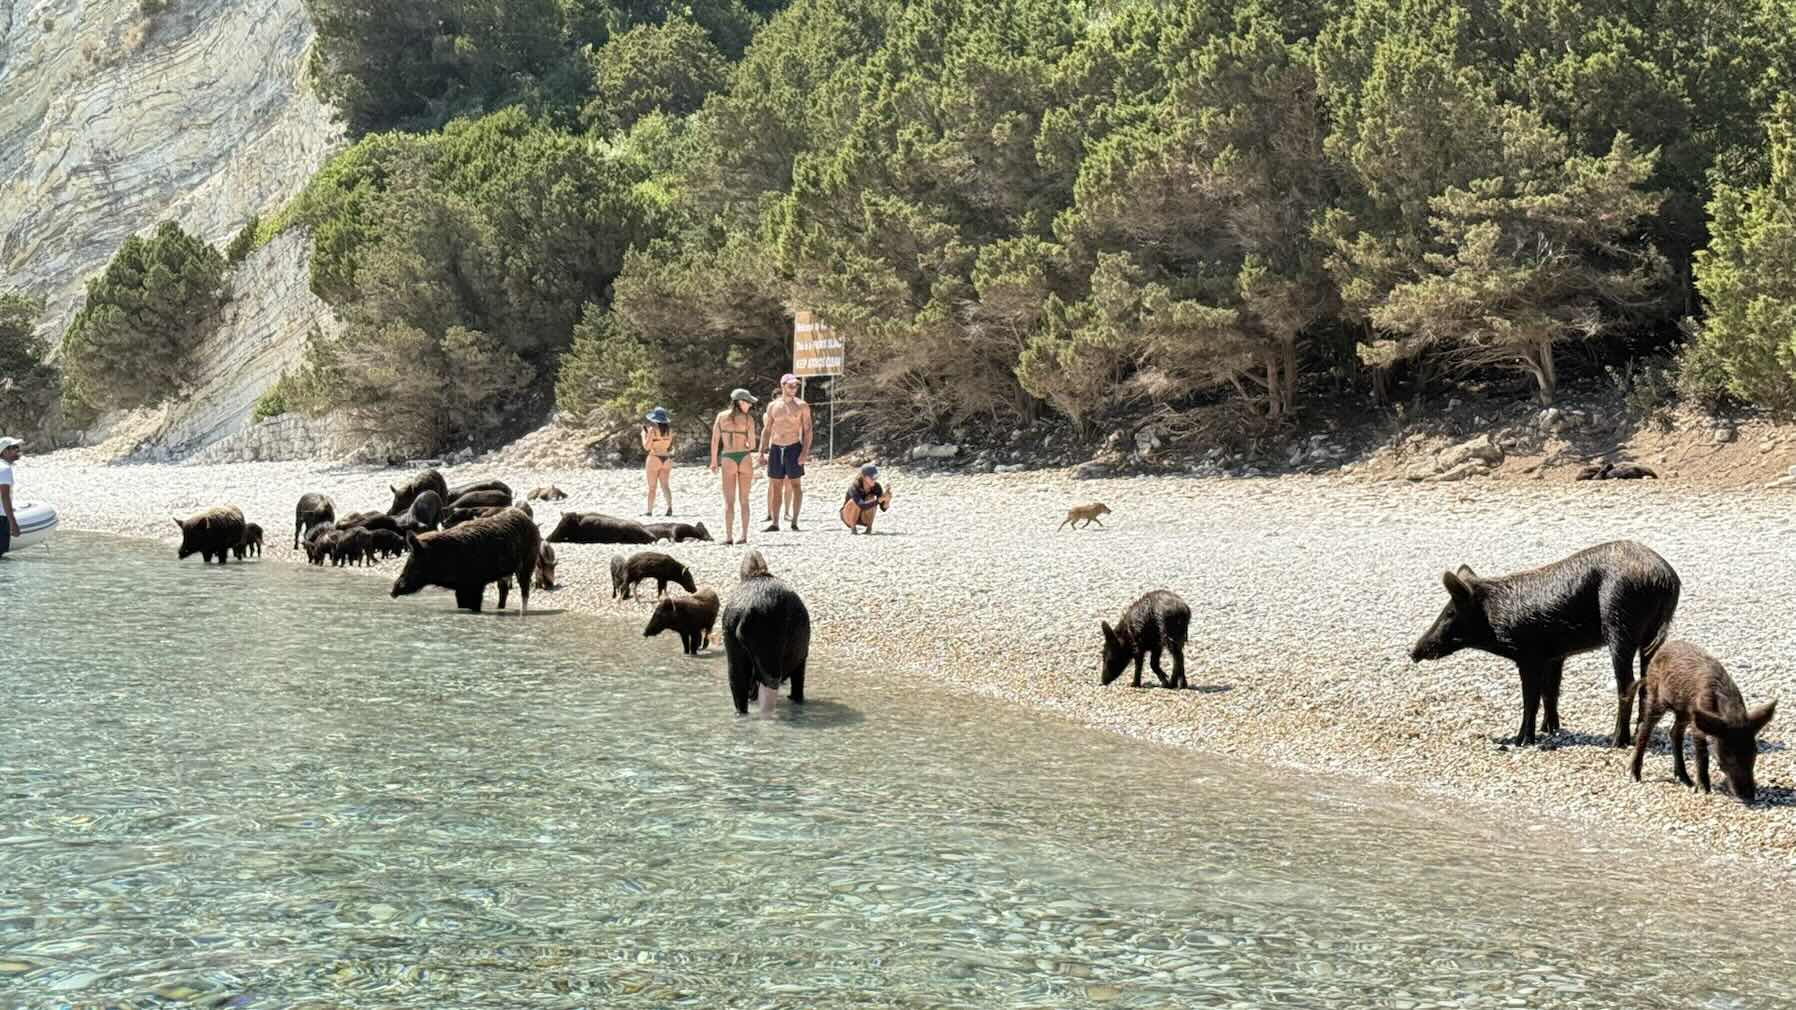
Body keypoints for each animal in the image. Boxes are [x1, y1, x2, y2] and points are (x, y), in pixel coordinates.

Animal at [391, 508, 540, 614]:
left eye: (414, 560)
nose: (392, 591)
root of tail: (529, 521)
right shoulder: (461, 588)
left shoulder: (474, 585)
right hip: (505, 574)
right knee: (504, 591)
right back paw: (500, 609)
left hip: (528, 563)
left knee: (524, 590)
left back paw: (522, 612)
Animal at [722, 550, 810, 717]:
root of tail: (748, 610)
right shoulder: (801, 658)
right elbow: (798, 683)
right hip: (769, 654)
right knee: (769, 687)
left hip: (731, 638)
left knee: (738, 682)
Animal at [1409, 540, 1681, 748]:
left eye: (1450, 613)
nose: (1412, 651)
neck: (1495, 616)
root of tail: (1666, 578)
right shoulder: (1555, 655)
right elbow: (1550, 692)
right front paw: (1550, 730)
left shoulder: (1529, 656)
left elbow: (1531, 698)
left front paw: (1521, 741)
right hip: (1652, 636)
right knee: (1647, 682)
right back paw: (1638, 735)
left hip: (1619, 624)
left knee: (1627, 684)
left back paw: (1617, 742)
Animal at [1630, 641, 1777, 802]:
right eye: (1728, 756)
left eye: (1754, 753)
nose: (1748, 795)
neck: (1732, 715)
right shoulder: (1699, 725)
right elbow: (1702, 755)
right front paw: (1704, 790)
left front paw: (1698, 787)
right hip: (1655, 696)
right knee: (1645, 729)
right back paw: (1635, 776)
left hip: (1683, 712)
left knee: (1674, 733)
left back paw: (1686, 780)